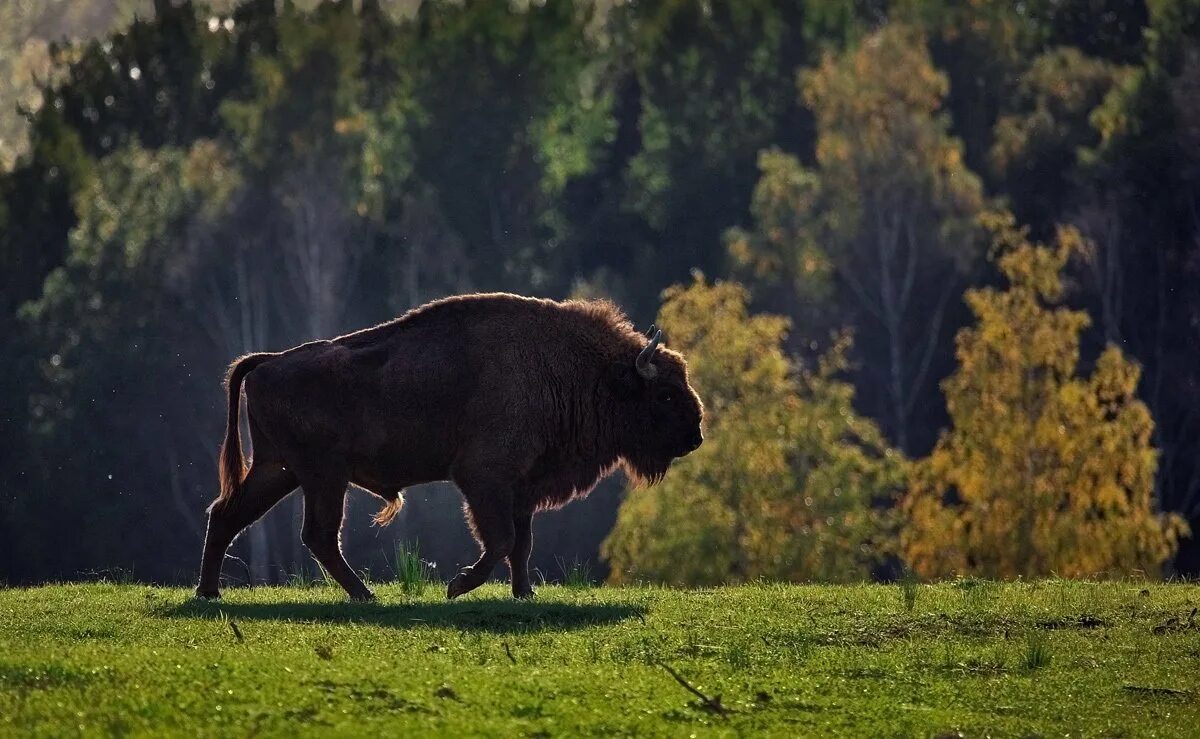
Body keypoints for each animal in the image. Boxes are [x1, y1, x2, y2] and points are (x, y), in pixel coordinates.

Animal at [194, 290, 700, 599]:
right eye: (664, 393)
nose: (696, 434)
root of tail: (267, 362)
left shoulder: (522, 487)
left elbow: (521, 544)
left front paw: (524, 593)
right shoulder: (484, 478)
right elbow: (502, 539)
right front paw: (458, 586)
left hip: (281, 471)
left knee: (228, 515)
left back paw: (210, 591)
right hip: (321, 477)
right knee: (316, 534)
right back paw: (365, 595)